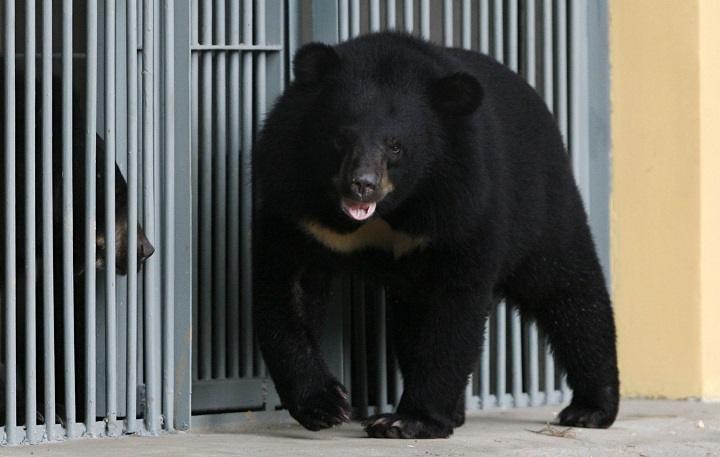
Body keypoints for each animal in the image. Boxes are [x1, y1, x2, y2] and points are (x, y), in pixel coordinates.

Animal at [252, 31, 619, 439]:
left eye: (395, 145)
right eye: (340, 138)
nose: (362, 185)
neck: (391, 211)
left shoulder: (462, 201)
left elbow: (453, 305)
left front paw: (406, 421)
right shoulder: (295, 200)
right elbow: (286, 287)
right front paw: (326, 405)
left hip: (542, 204)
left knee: (569, 292)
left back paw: (590, 409)